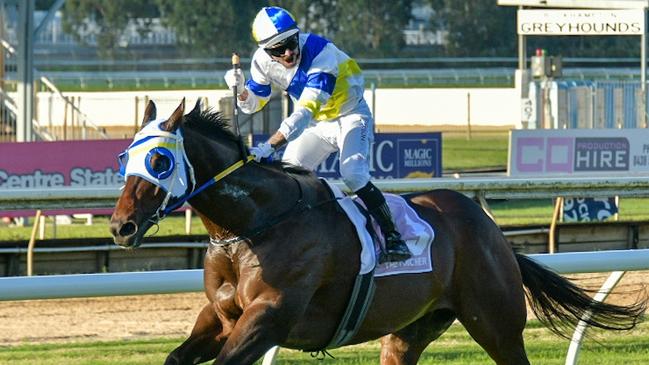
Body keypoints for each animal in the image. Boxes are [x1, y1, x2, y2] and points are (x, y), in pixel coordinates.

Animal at [109, 99, 640, 364]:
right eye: (127, 155)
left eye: (159, 159)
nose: (120, 226)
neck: (251, 227)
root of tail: (490, 230)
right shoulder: (219, 318)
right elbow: (177, 358)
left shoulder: (270, 317)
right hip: (409, 332)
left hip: (497, 322)